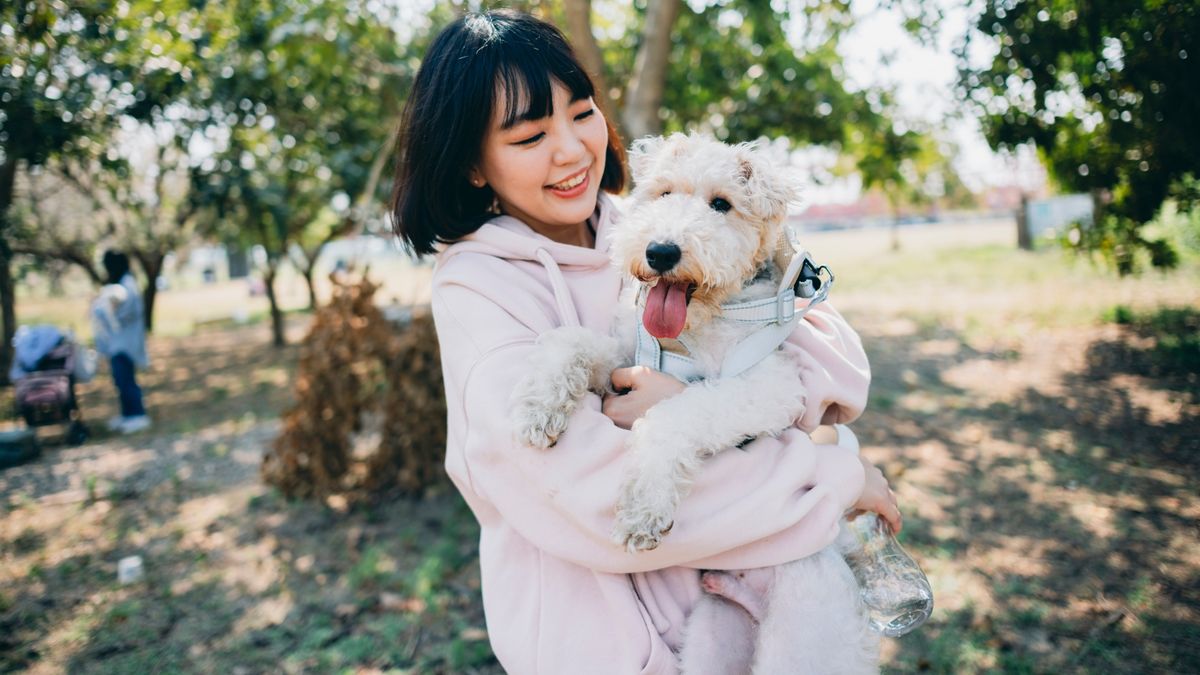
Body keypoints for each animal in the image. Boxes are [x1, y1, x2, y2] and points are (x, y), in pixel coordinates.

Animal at [511, 132, 878, 672]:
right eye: (663, 192)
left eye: (721, 204)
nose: (661, 251)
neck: (696, 328)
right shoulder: (625, 359)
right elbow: (571, 342)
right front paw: (538, 408)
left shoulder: (769, 385)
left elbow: (675, 414)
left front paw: (643, 508)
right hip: (709, 639)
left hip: (805, 636)